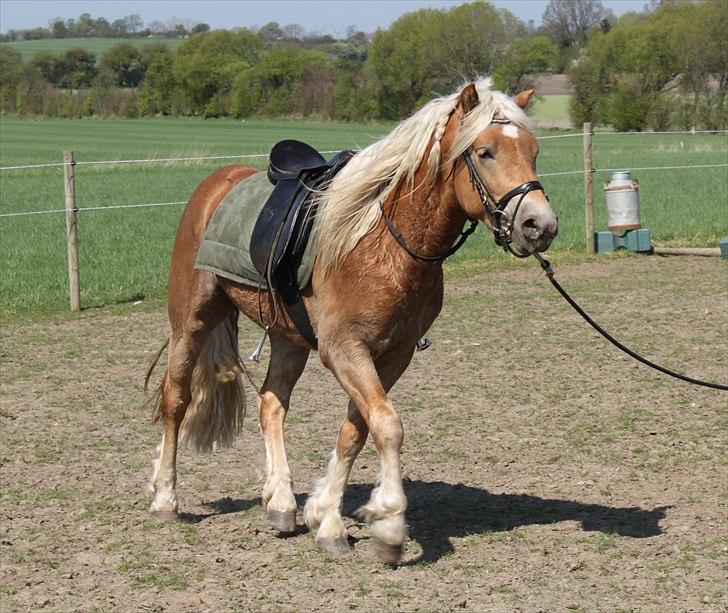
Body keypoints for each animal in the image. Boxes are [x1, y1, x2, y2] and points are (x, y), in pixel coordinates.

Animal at [146, 81, 556, 564]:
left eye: (533, 151)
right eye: (485, 152)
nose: (540, 225)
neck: (384, 243)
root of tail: (216, 183)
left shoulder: (394, 355)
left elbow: (356, 431)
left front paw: (325, 516)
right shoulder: (345, 351)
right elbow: (388, 427)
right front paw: (389, 527)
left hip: (288, 338)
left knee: (271, 403)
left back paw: (280, 501)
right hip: (192, 320)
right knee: (176, 399)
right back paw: (166, 499)